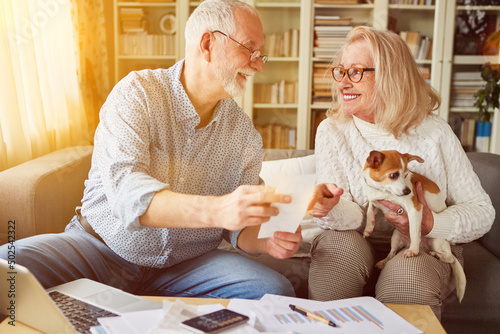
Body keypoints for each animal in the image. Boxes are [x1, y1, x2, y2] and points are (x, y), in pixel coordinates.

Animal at [362, 150, 466, 302]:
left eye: (406, 175)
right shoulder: (376, 203)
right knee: (392, 252)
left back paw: (437, 255)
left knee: (450, 257)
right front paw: (368, 228)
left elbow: (414, 231)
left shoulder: (414, 209)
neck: (383, 191)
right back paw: (384, 261)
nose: (407, 191)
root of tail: (425, 247)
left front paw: (413, 250)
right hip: (396, 236)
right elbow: (370, 210)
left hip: (437, 241)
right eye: (394, 175)